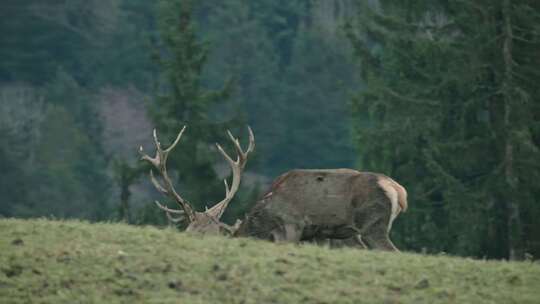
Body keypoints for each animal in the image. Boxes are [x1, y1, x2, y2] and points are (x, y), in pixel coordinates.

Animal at [137, 126, 408, 252]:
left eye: (199, 233)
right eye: (188, 229)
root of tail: (399, 189)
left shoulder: (291, 226)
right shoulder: (317, 235)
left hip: (372, 224)